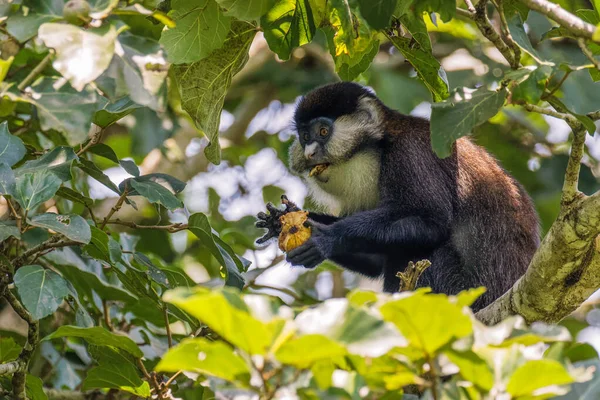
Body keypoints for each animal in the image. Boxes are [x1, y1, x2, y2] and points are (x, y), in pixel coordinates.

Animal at [254, 82, 540, 312]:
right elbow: (375, 261)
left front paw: (325, 238)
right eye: (304, 137)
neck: (379, 146)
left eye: (323, 132)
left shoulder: (411, 153)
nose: (310, 152)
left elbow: (430, 222)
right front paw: (280, 220)